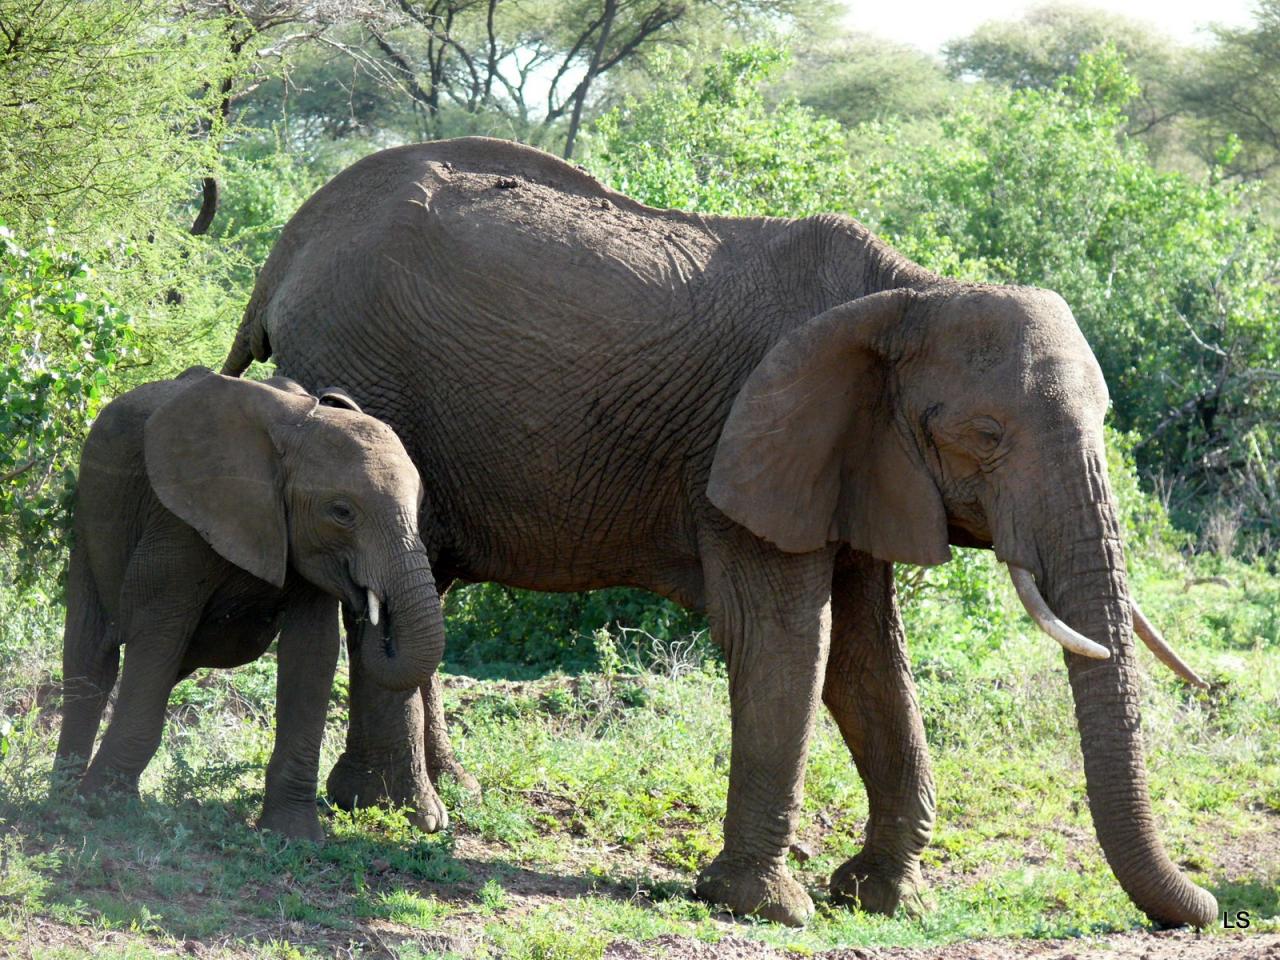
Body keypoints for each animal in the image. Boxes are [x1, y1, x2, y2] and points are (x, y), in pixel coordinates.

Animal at [53, 368, 445, 839]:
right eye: (341, 512)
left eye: (419, 505)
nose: (371, 604)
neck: (297, 428)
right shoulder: (180, 517)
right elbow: (158, 630)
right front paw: (104, 807)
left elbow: (313, 652)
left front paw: (293, 835)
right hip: (90, 513)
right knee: (93, 659)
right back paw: (61, 795)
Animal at [225, 136, 1213, 931]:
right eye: (986, 437)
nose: (1201, 907)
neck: (910, 292)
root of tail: (289, 244)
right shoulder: (749, 449)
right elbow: (789, 639)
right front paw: (766, 907)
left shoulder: (852, 461)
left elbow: (867, 657)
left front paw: (884, 899)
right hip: (363, 370)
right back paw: (404, 815)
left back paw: (436, 798)